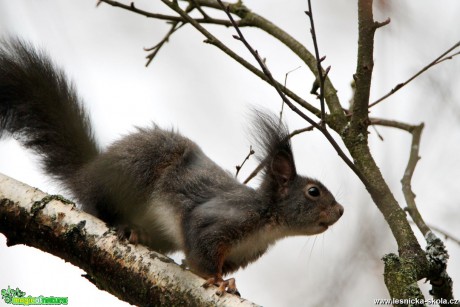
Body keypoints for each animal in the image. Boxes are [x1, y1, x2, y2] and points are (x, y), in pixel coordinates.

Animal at [0, 38, 344, 296]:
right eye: (314, 192)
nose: (340, 211)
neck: (269, 221)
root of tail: (88, 173)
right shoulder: (219, 220)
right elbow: (203, 252)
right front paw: (219, 282)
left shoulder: (241, 253)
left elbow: (197, 262)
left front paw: (229, 282)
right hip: (133, 172)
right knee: (97, 206)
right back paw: (126, 226)